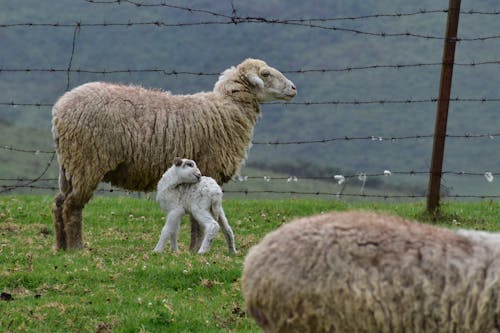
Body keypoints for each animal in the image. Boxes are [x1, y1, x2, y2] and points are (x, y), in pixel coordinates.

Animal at [49, 58, 296, 249]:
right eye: (265, 73)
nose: (294, 88)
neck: (225, 109)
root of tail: (60, 109)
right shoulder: (207, 167)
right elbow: (197, 221)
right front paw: (194, 249)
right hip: (87, 161)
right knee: (72, 206)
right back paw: (76, 248)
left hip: (69, 164)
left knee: (59, 203)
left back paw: (61, 247)